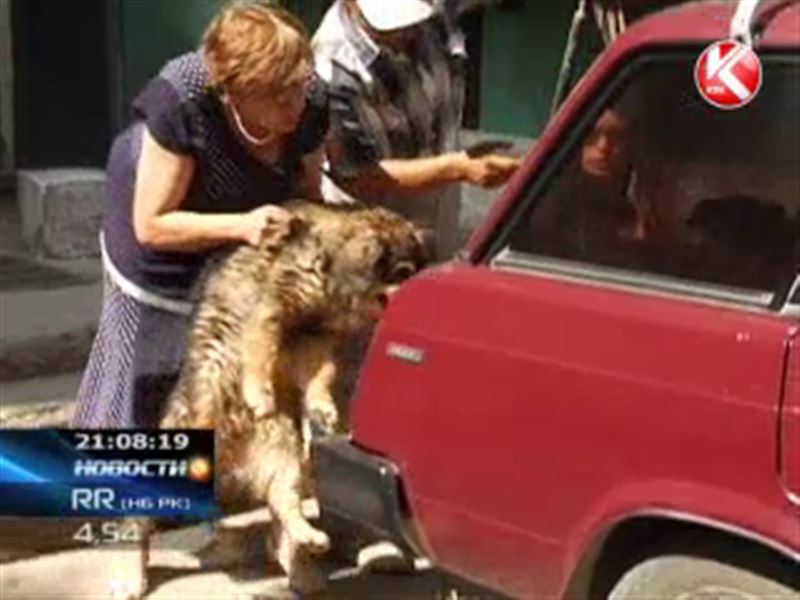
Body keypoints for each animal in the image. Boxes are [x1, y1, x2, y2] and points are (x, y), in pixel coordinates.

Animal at [111, 203, 432, 600]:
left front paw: (321, 403)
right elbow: (261, 346)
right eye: (403, 272)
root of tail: (231, 466)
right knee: (141, 515)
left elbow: (321, 371)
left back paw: (304, 551)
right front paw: (259, 392)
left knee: (285, 504)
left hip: (287, 454)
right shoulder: (273, 304)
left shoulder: (316, 336)